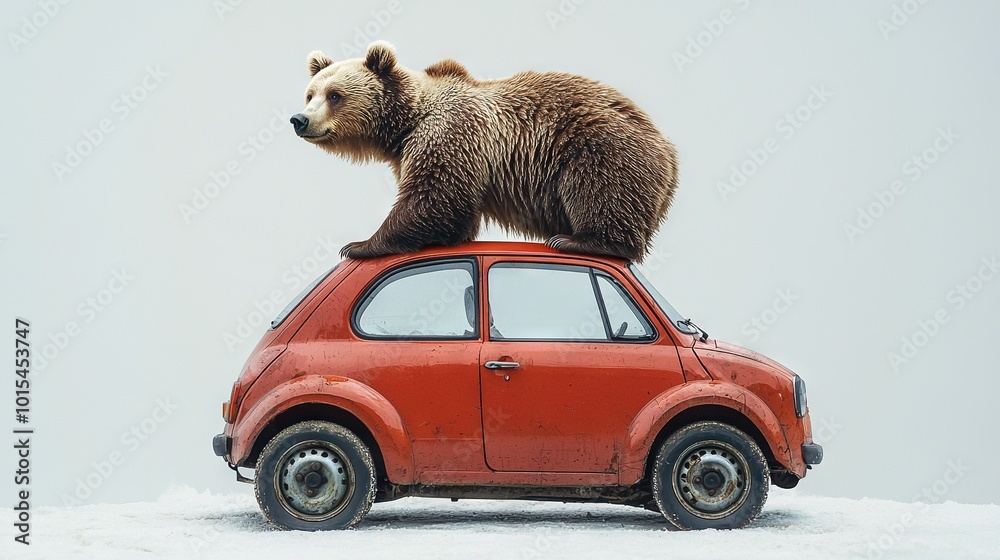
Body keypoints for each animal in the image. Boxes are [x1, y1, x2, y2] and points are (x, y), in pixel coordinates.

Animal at [290, 42, 680, 262]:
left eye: (335, 95)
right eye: (310, 93)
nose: (299, 119)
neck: (404, 125)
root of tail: (669, 151)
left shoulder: (448, 134)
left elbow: (434, 198)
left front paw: (359, 244)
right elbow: (452, 214)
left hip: (600, 148)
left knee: (603, 193)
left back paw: (579, 240)